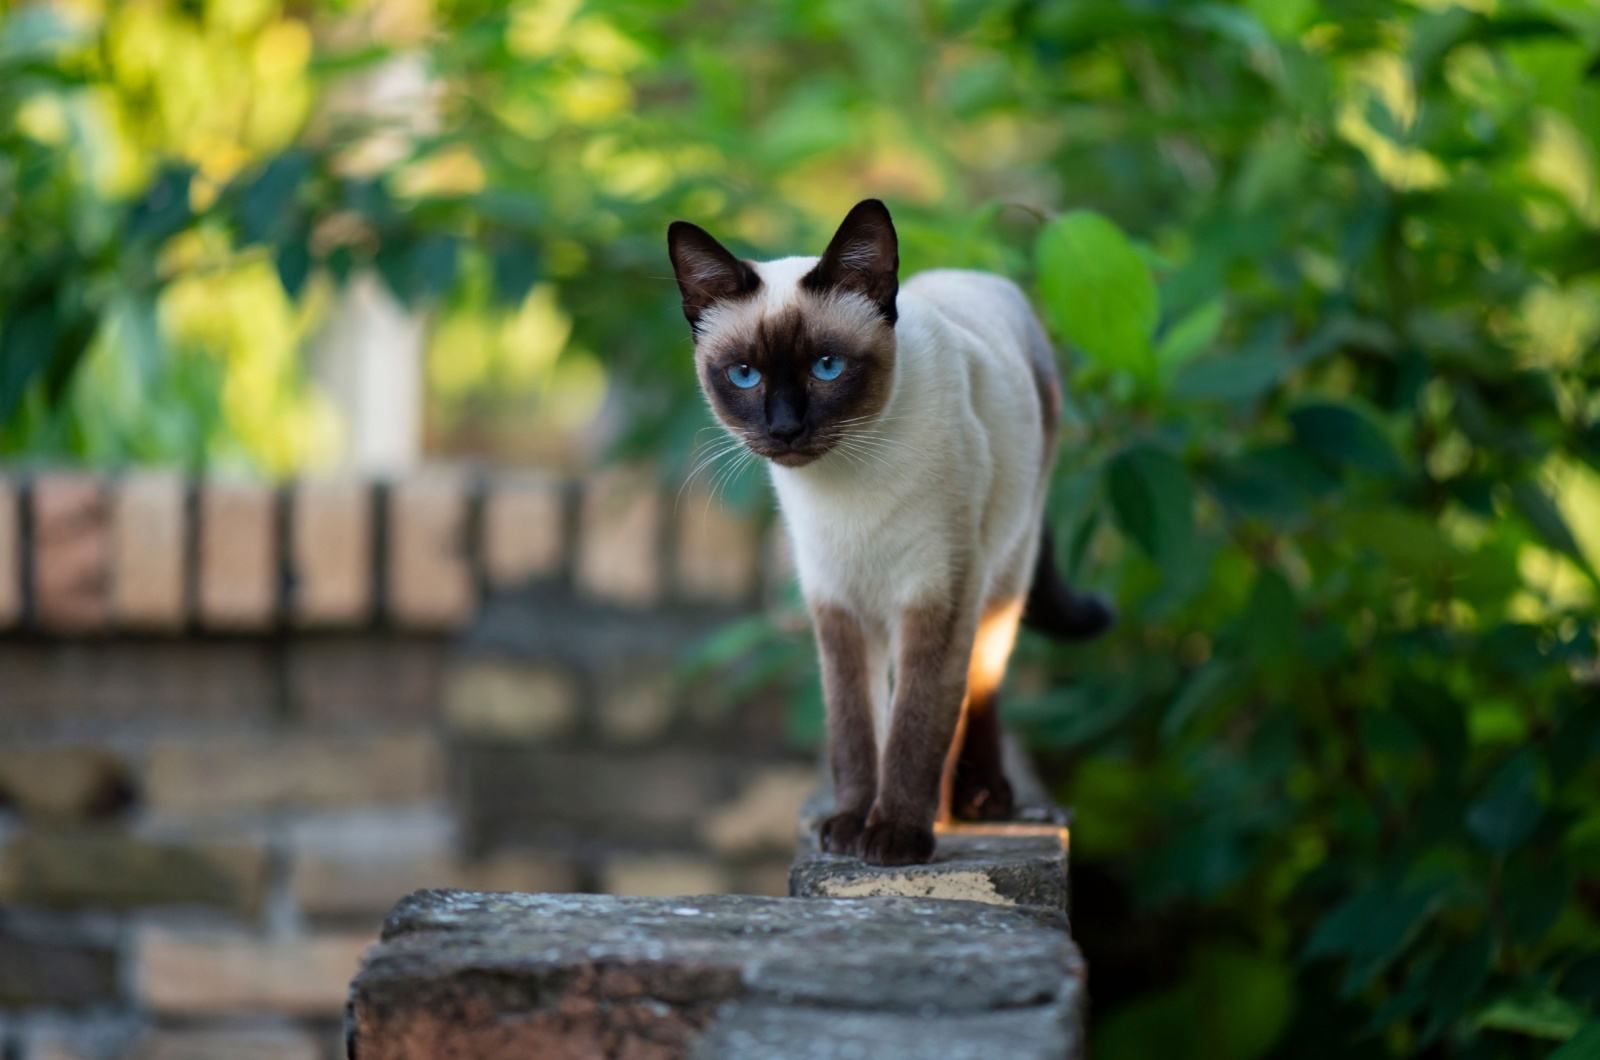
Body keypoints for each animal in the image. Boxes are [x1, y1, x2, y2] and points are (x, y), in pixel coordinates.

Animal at [665, 201, 1113, 871]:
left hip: (1002, 574)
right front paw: (850, 827)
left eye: (827, 367)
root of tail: (976, 276)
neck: (845, 487)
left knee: (982, 681)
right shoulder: (837, 605)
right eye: (744, 375)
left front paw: (897, 836)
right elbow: (853, 730)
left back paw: (975, 802)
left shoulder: (936, 598)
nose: (786, 428)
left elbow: (916, 725)